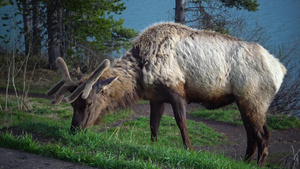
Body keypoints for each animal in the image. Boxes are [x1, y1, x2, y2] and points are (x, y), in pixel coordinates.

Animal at [47, 21, 286, 166]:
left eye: (87, 103)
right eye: (73, 104)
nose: (74, 129)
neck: (140, 73)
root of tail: (280, 70)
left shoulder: (176, 90)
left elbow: (181, 123)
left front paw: (190, 150)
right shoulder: (157, 97)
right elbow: (153, 125)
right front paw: (153, 147)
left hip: (253, 99)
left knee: (263, 134)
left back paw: (258, 164)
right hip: (244, 102)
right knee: (252, 134)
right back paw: (244, 162)